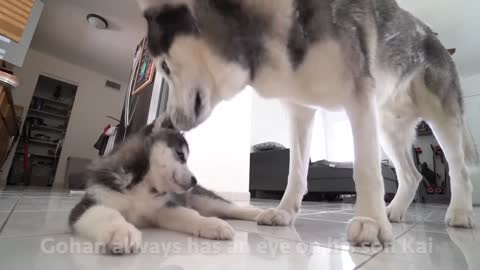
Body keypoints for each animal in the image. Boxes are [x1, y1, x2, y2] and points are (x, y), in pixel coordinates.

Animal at [68, 115, 262, 253]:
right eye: (181, 155)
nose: (195, 180)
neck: (142, 186)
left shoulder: (164, 208)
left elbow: (189, 215)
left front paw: (210, 224)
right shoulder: (89, 203)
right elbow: (107, 214)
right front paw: (121, 230)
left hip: (206, 200)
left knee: (233, 208)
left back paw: (262, 214)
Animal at [136, 0, 480, 246]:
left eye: (163, 66)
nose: (169, 121)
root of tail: (436, 39)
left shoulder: (359, 101)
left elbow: (366, 170)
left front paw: (369, 221)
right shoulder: (300, 112)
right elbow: (296, 170)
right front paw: (285, 212)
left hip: (440, 118)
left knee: (459, 169)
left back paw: (460, 212)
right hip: (387, 128)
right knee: (411, 175)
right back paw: (393, 212)